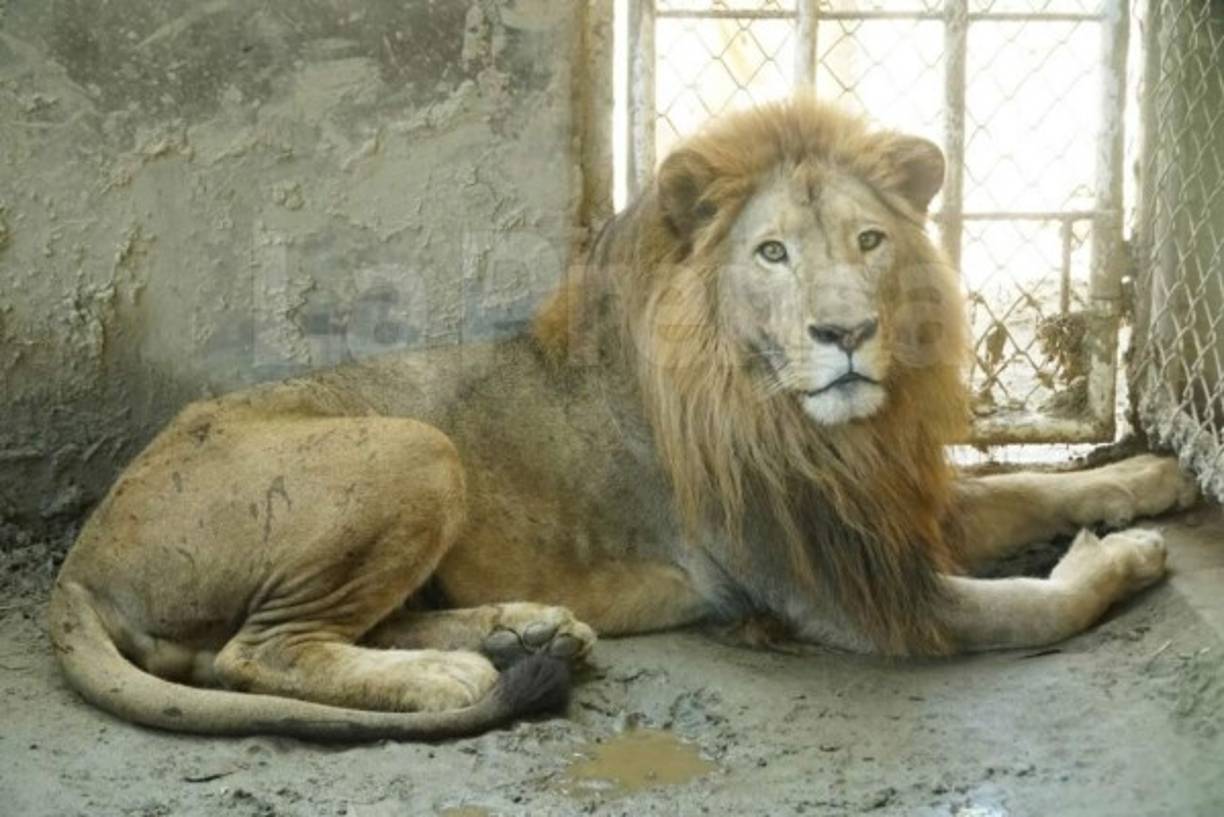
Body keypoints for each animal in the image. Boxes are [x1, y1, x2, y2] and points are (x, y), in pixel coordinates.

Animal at [49, 99, 1198, 740]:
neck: (805, 424)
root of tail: (81, 562)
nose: (847, 332)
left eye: (870, 240)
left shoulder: (871, 504)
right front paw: (1125, 553)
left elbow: (1026, 484)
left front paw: (1148, 479)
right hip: (416, 445)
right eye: (772, 253)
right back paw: (456, 670)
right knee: (257, 653)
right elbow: (1037, 607)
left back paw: (527, 628)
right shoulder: (835, 590)